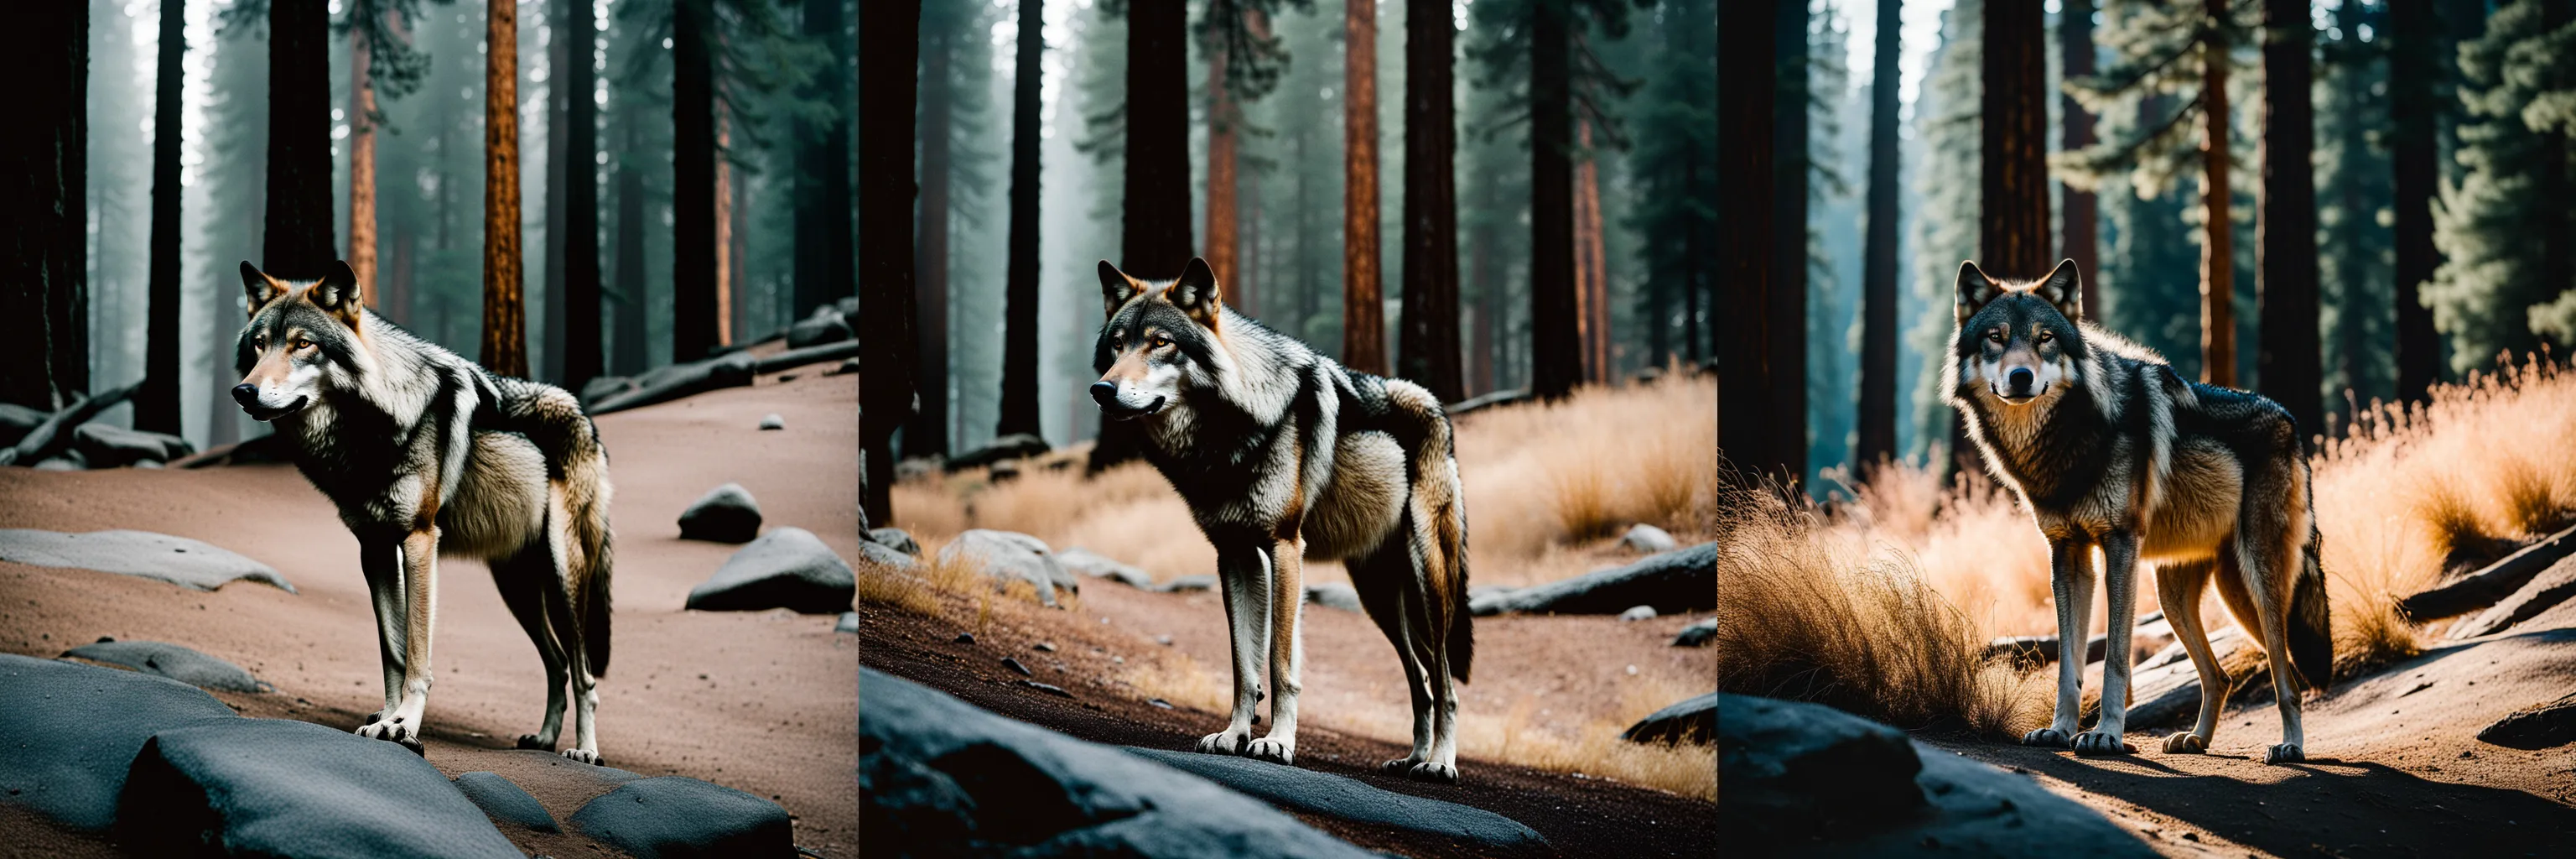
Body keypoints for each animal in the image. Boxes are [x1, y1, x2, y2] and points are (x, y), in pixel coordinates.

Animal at [236, 260, 618, 763]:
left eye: (303, 344)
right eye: (260, 346)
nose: (244, 391)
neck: (369, 432)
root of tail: (587, 421)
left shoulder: (418, 541)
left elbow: (418, 655)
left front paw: (405, 725)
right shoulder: (375, 549)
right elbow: (393, 651)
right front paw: (386, 718)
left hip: (563, 580)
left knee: (584, 673)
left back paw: (585, 751)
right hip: (517, 589)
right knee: (557, 664)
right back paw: (543, 740)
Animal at [1087, 258, 1483, 778]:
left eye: (1160, 343)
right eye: (1117, 344)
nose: (1102, 390)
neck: (1225, 437)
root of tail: (1439, 409)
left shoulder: (1284, 548)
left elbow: (1278, 663)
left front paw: (1276, 742)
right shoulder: (1235, 555)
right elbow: (1243, 662)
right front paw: (1234, 735)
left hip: (1429, 584)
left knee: (1445, 681)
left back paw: (1439, 763)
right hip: (1378, 598)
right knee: (1421, 680)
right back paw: (1412, 757)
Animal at [1937, 259, 2329, 763]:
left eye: (2045, 338)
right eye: (1996, 337)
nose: (2021, 376)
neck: (2067, 442)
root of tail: (2291, 422)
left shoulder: (2120, 546)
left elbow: (2115, 660)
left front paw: (2105, 734)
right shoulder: (2068, 553)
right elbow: (2068, 665)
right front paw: (2059, 731)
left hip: (2257, 586)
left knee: (2290, 678)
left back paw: (2290, 746)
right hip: (2180, 597)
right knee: (2220, 677)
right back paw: (2195, 739)